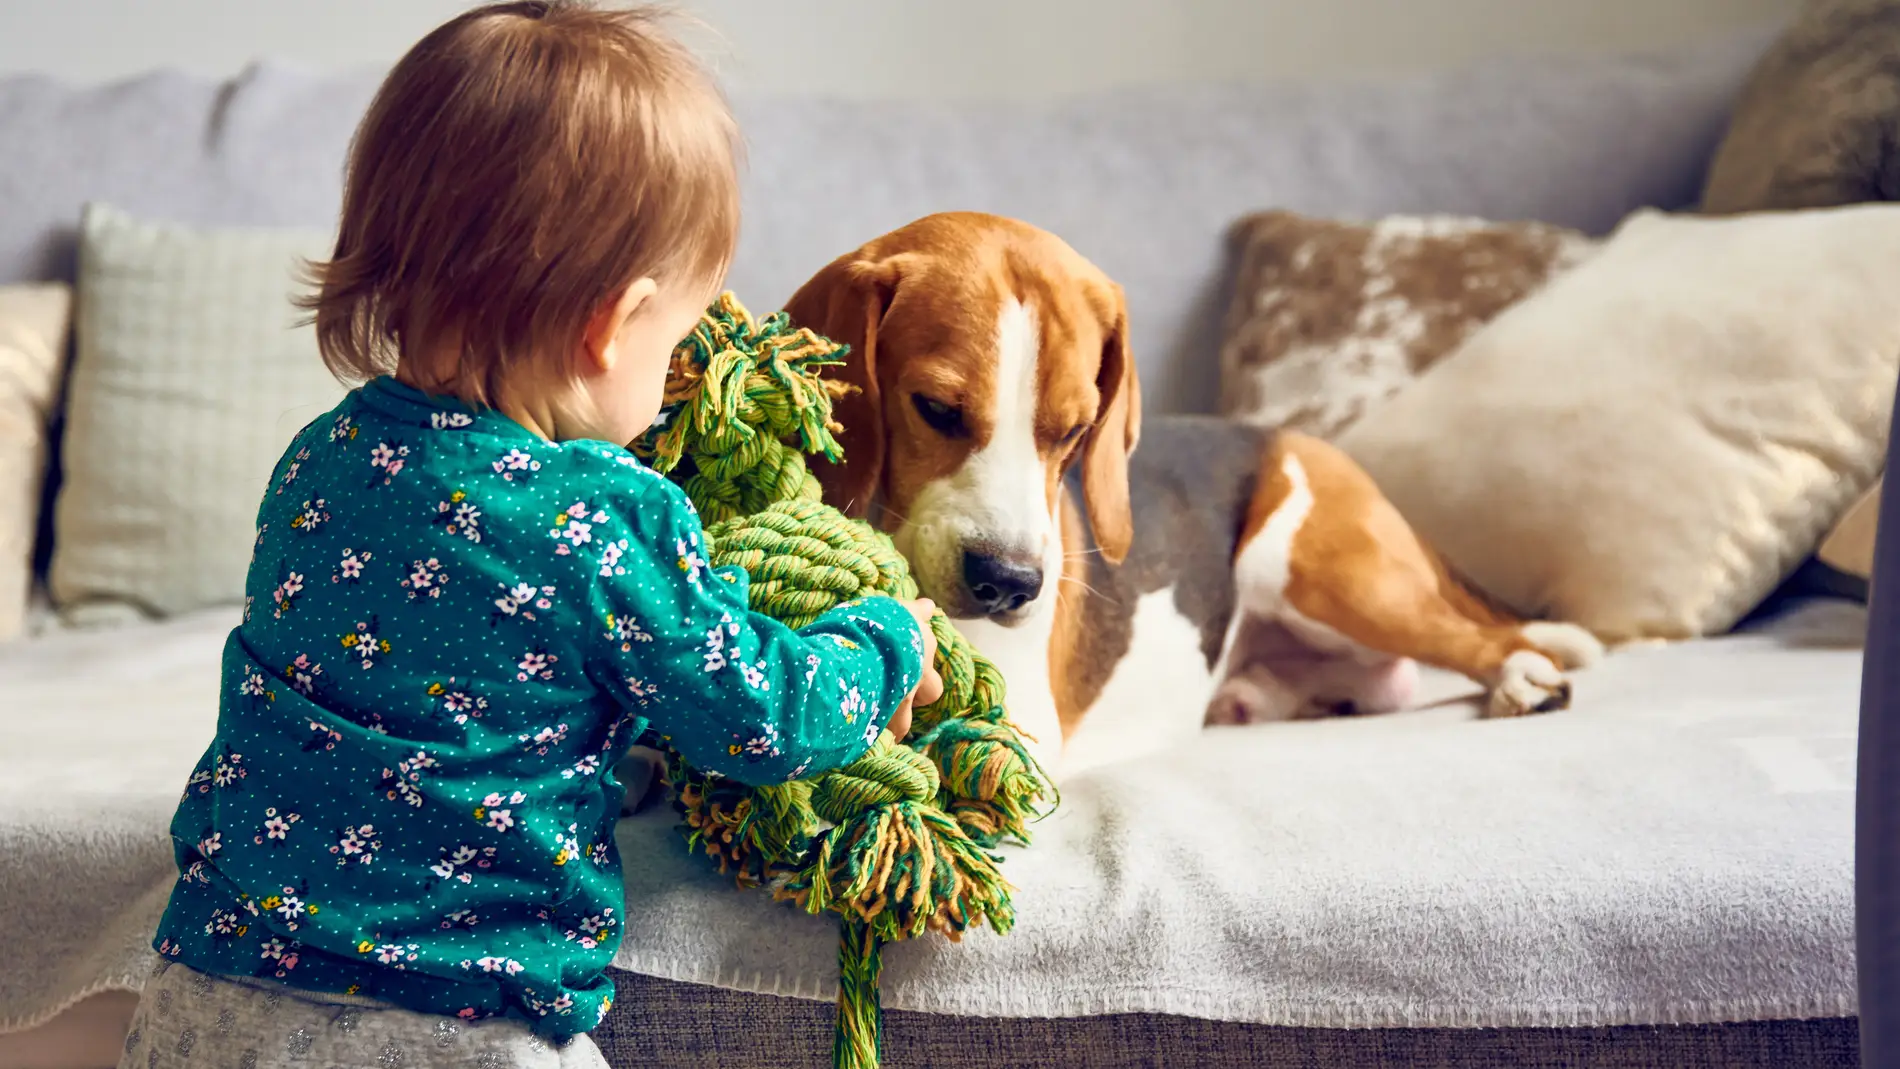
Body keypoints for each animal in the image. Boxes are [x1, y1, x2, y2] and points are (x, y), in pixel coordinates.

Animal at [779, 211, 1596, 778]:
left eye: (1074, 431)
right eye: (936, 410)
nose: (1010, 584)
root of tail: (1296, 439)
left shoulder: (1021, 730)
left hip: (1323, 571)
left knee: (1475, 642)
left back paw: (1525, 677)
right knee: (1386, 679)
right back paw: (1254, 696)